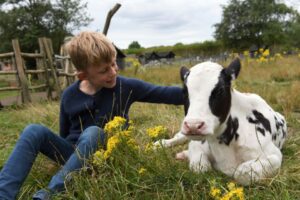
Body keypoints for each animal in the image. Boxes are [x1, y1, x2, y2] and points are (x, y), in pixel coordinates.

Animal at [156, 58, 288, 186]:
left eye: (220, 90)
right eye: (184, 91)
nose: (193, 125)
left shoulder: (274, 155)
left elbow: (242, 173)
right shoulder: (196, 144)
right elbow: (200, 167)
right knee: (179, 137)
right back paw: (162, 143)